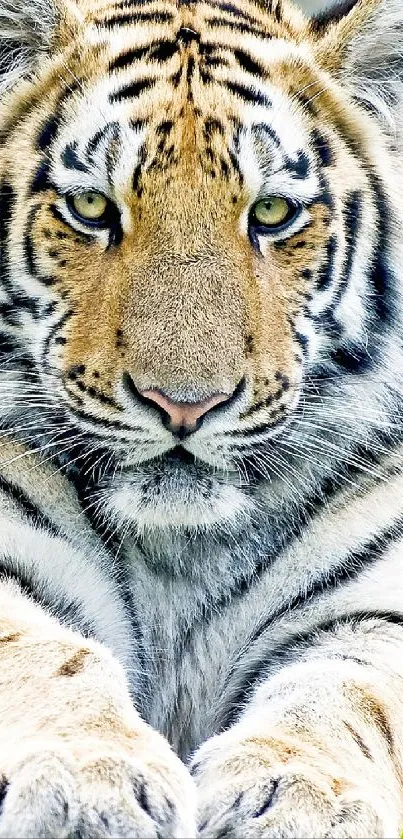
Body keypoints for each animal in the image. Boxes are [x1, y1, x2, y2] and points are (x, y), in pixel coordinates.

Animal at [2, 0, 403, 836]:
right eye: (91, 207)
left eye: (272, 213)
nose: (184, 403)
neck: (179, 556)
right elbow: (51, 656)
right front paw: (88, 779)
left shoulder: (373, 607)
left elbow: (343, 698)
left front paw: (301, 797)